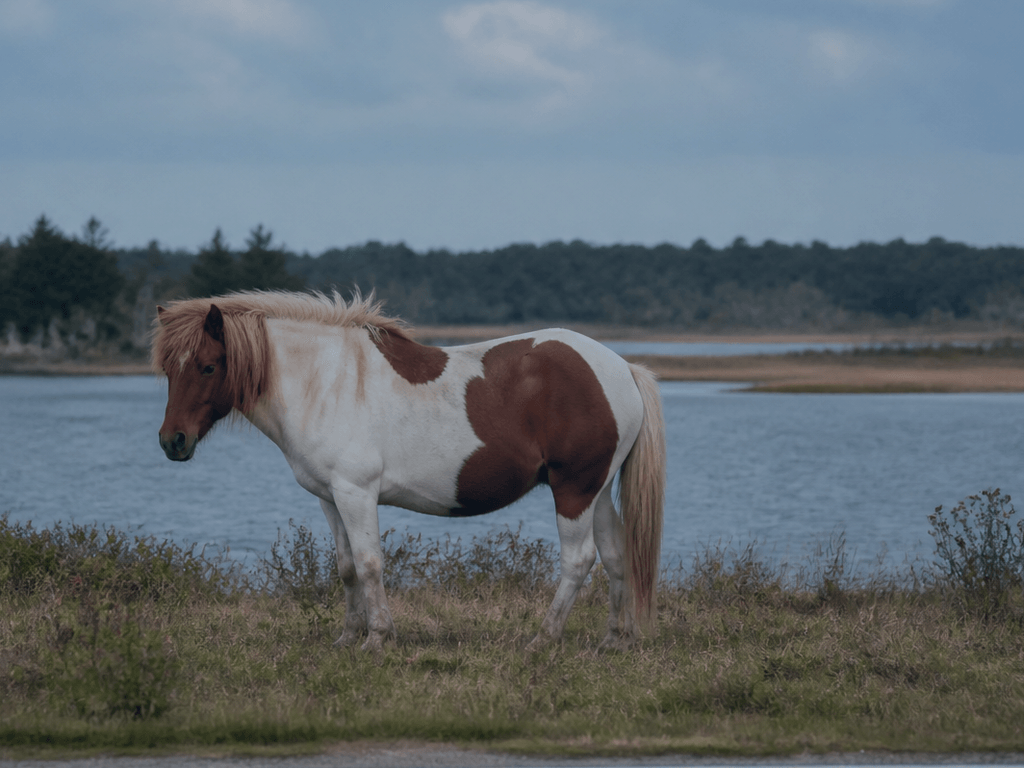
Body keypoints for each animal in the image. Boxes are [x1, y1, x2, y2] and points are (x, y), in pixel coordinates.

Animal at [153, 290, 665, 652]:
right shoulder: (329, 496)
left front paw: (377, 638)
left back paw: (543, 638)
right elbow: (346, 567)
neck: (325, 382)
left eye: (208, 366)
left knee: (578, 561)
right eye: (168, 371)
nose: (172, 441)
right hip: (596, 491)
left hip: (573, 490)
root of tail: (622, 367)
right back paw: (613, 640)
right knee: (615, 555)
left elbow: (370, 563)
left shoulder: (356, 493)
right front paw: (347, 637)